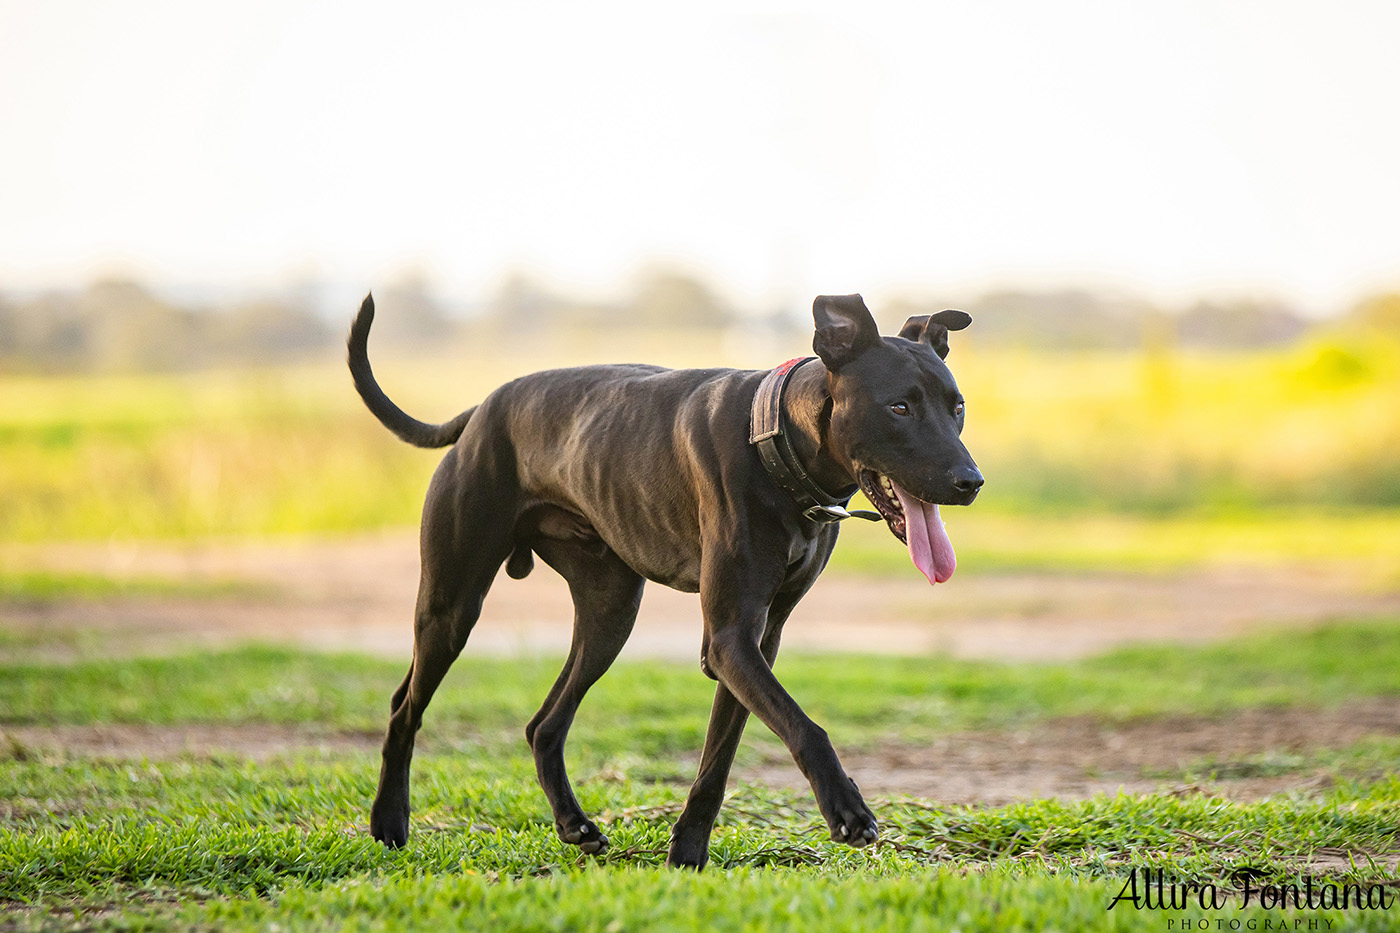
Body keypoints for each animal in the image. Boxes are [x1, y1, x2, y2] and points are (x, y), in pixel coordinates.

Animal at [350, 291, 985, 862]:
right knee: (404, 707)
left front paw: (687, 855)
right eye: (899, 407)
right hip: (452, 605)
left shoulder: (755, 642)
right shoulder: (730, 641)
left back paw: (574, 824)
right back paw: (389, 821)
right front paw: (846, 808)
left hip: (609, 614)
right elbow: (804, 727)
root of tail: (481, 410)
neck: (779, 442)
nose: (971, 482)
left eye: (957, 407)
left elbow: (719, 759)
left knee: (544, 725)